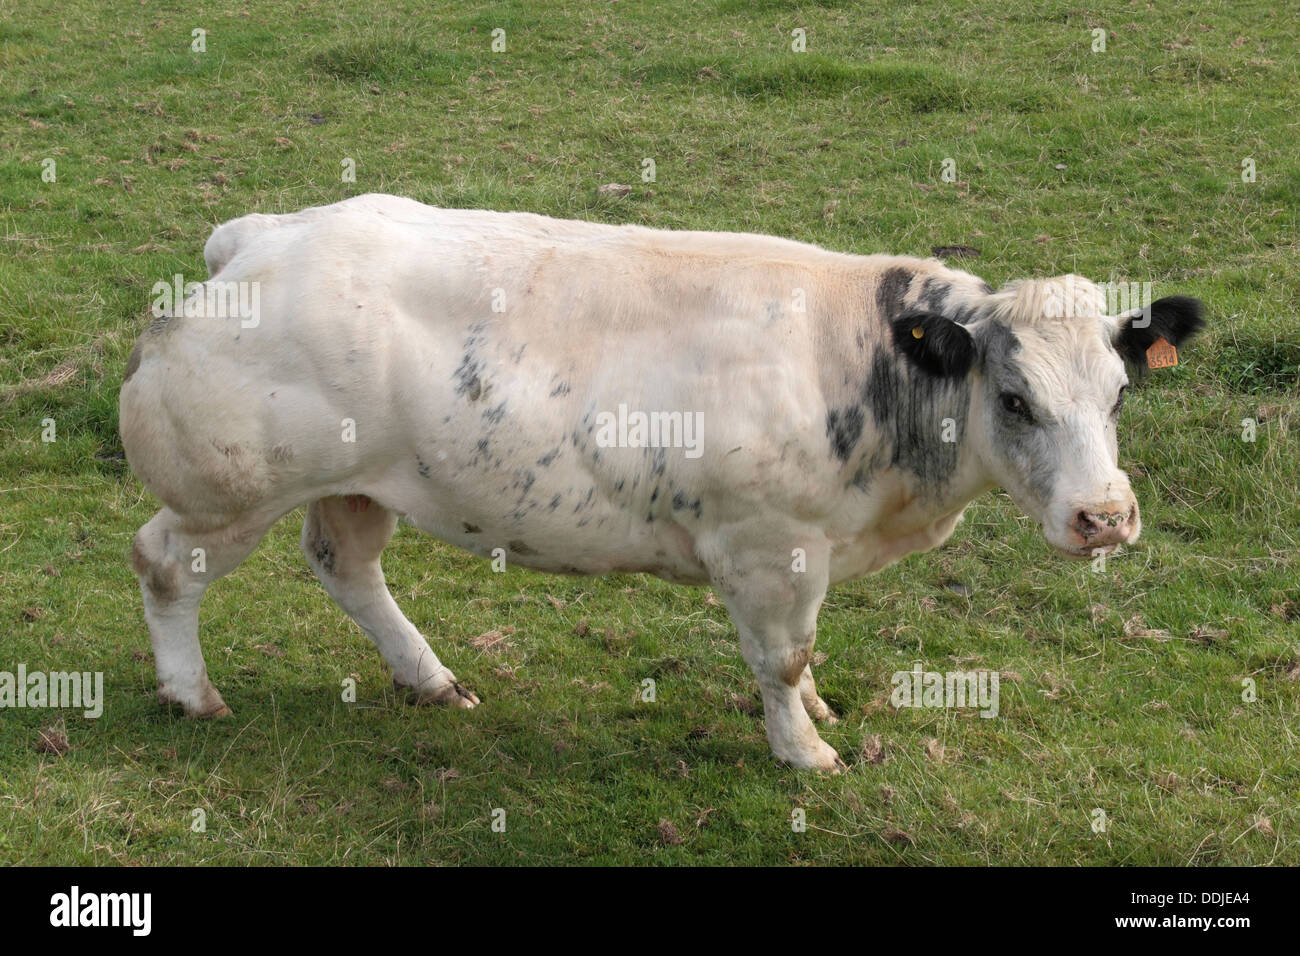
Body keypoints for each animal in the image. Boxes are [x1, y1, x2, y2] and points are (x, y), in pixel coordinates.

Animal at [116, 195, 1201, 770]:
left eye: (1118, 392)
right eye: (1014, 399)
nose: (1104, 516)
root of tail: (262, 235)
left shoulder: (801, 554)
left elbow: (803, 658)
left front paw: (817, 718)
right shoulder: (768, 548)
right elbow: (782, 658)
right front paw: (804, 753)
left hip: (360, 482)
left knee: (345, 565)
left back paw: (429, 677)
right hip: (225, 492)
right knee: (164, 563)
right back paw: (190, 692)